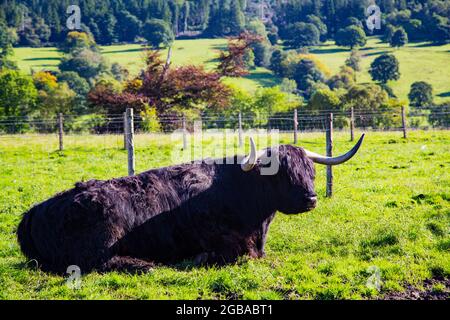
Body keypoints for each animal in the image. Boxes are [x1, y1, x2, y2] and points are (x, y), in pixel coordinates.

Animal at [17, 136, 366, 274]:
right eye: (282, 174)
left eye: (310, 172)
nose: (311, 199)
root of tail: (36, 210)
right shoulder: (229, 244)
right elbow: (238, 254)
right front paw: (200, 257)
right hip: (100, 242)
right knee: (96, 264)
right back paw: (146, 264)